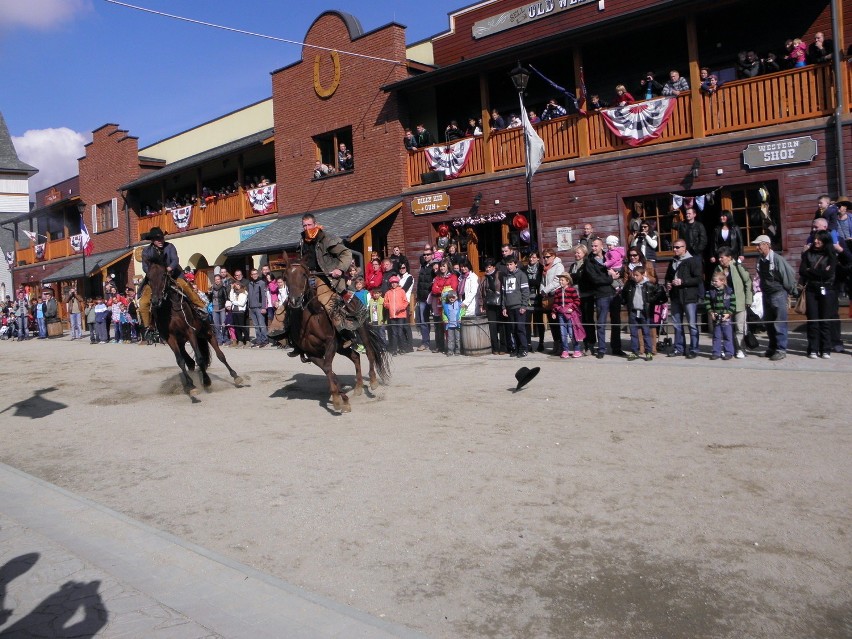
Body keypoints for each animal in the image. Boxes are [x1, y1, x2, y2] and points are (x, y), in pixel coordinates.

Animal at [147, 260, 243, 396]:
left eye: (164, 275)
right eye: (148, 278)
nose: (155, 300)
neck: (170, 309)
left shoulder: (190, 331)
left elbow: (200, 358)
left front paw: (206, 381)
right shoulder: (170, 338)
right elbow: (180, 361)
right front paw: (191, 385)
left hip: (207, 333)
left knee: (220, 355)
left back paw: (235, 376)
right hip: (182, 341)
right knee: (190, 362)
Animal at [286, 262, 392, 416]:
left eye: (304, 275)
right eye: (285, 277)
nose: (295, 300)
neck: (310, 320)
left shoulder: (330, 344)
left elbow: (328, 368)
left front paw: (337, 400)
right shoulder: (311, 354)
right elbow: (328, 370)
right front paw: (341, 398)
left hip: (361, 329)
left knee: (370, 352)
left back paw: (372, 381)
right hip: (342, 347)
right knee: (355, 356)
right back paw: (358, 387)